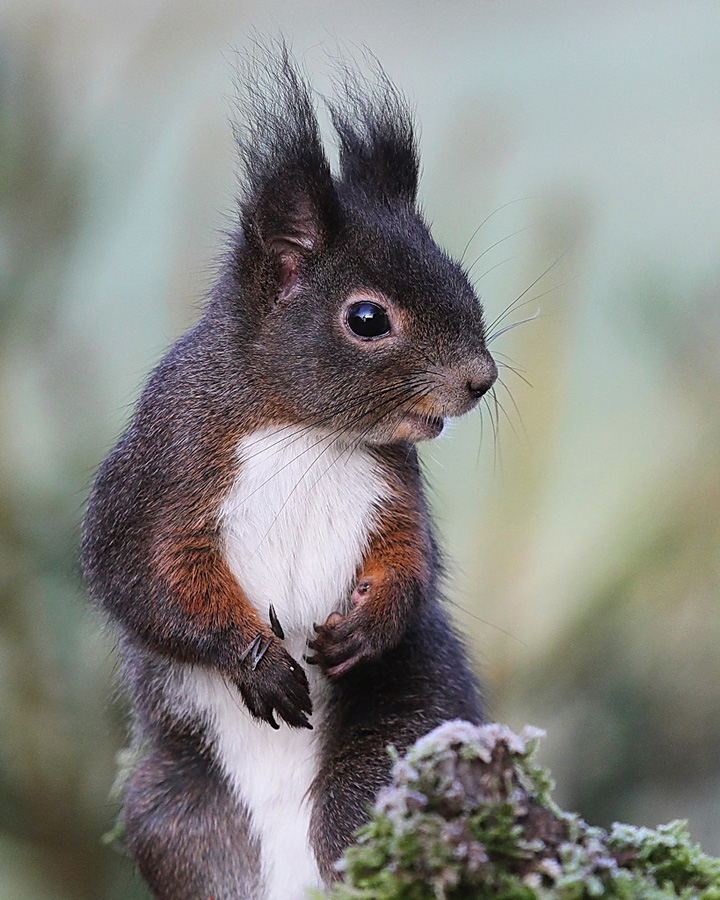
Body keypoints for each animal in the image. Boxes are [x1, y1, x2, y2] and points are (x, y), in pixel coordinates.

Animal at [79, 47, 496, 900]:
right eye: (366, 318)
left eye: (461, 280)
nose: (481, 378)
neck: (306, 431)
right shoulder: (161, 468)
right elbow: (143, 581)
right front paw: (258, 662)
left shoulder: (393, 489)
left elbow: (411, 561)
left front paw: (366, 625)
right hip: (173, 816)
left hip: (396, 751)